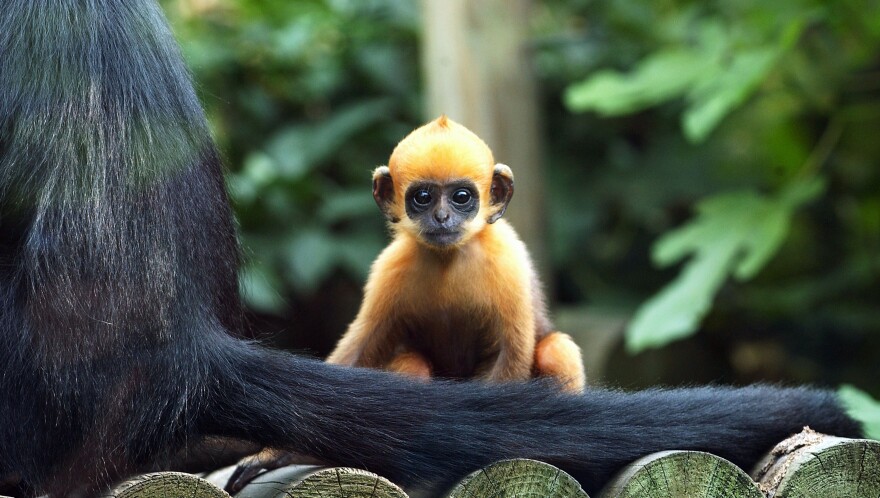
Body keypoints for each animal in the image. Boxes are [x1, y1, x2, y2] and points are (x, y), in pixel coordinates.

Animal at [328, 115, 584, 392]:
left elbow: (507, 356)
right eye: (423, 197)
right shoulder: (390, 268)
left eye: (461, 196)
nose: (442, 217)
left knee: (556, 348)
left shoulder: (507, 262)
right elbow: (355, 354)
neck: (448, 258)